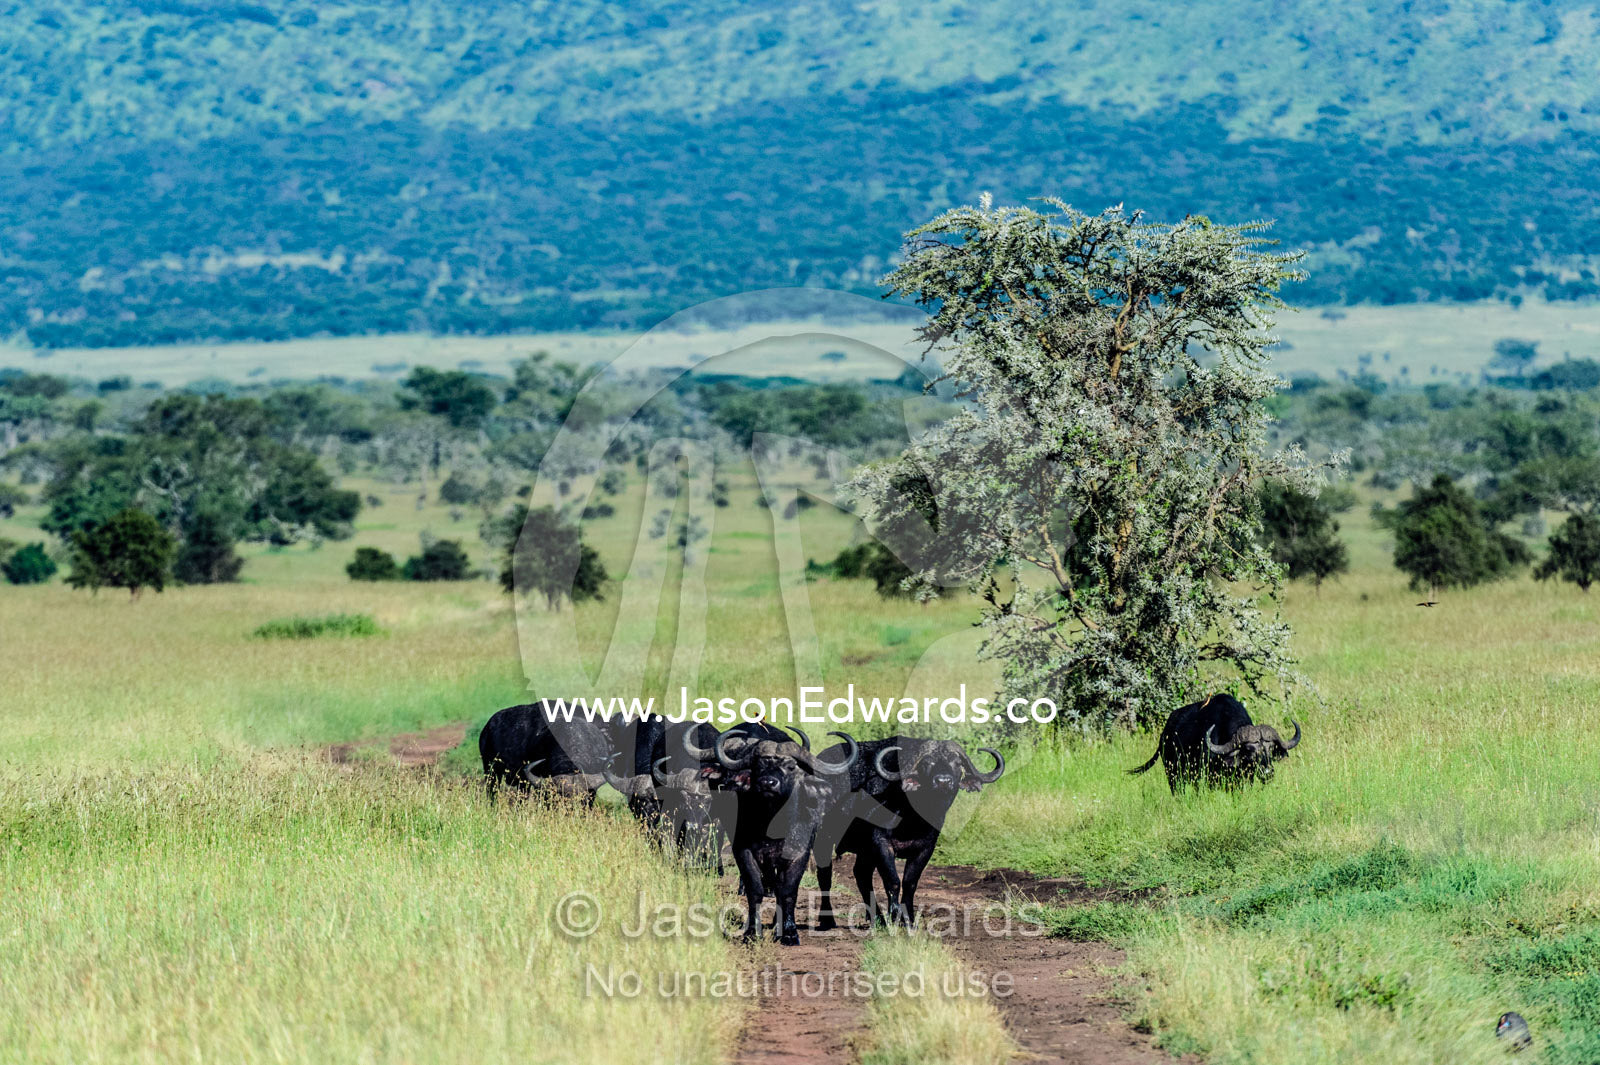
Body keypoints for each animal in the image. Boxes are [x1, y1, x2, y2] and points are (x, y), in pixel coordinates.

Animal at [713, 727, 859, 945]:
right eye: (759, 766)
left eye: (790, 767)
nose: (768, 783)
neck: (772, 825)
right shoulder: (743, 851)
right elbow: (755, 889)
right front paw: (752, 932)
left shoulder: (799, 855)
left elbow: (788, 891)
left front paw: (789, 932)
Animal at [812, 737, 1004, 929]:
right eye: (926, 763)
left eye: (957, 764)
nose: (943, 781)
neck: (912, 818)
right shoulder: (881, 843)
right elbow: (893, 881)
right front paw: (895, 914)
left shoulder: (925, 849)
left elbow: (910, 883)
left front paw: (909, 919)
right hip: (822, 838)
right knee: (825, 875)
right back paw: (828, 919)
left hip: (865, 852)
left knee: (861, 874)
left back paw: (877, 918)